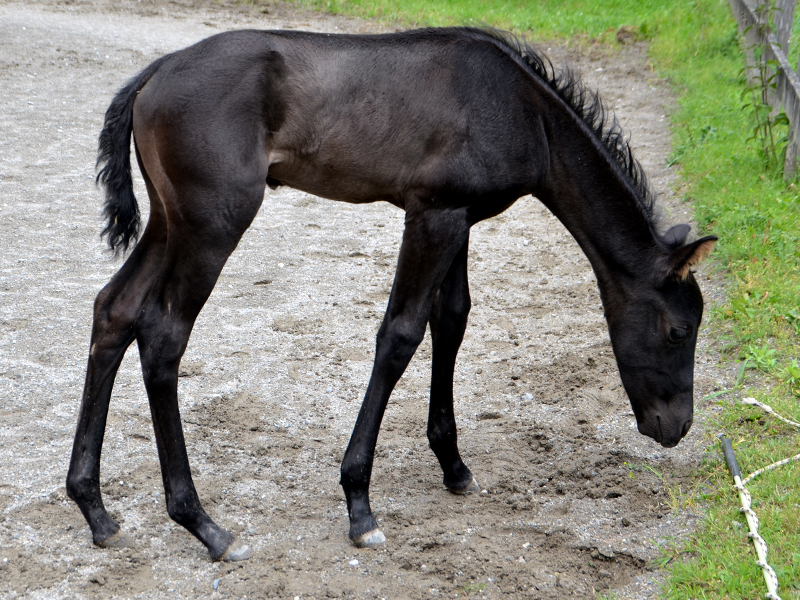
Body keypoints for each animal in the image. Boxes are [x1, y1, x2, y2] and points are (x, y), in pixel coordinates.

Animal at [66, 27, 717, 562]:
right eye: (678, 330)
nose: (675, 427)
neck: (523, 111)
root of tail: (153, 74)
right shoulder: (432, 215)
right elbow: (400, 335)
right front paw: (360, 505)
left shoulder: (459, 217)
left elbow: (451, 320)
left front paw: (453, 466)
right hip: (212, 224)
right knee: (163, 335)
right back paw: (204, 525)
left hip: (168, 221)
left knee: (114, 310)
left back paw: (94, 508)